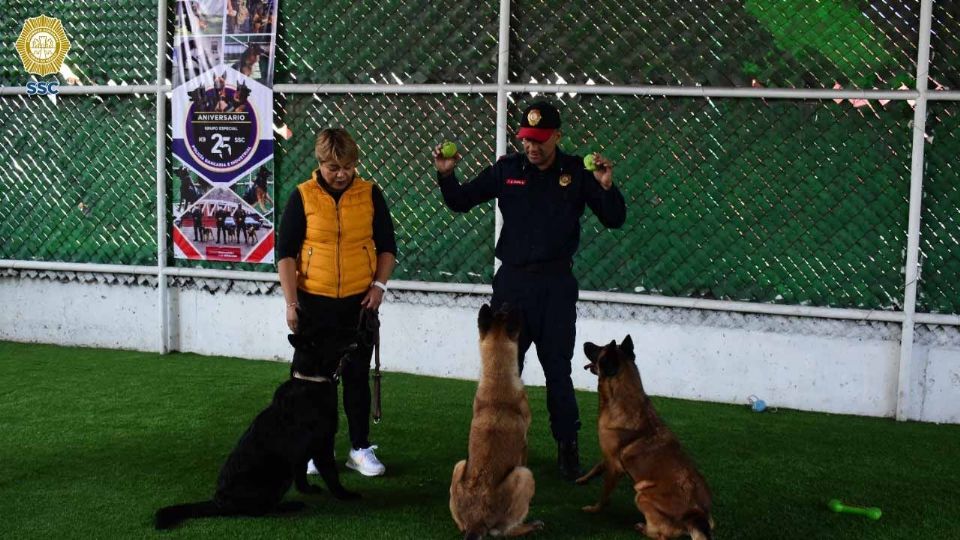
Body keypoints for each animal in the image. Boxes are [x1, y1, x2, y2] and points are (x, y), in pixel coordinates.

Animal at [156, 314, 362, 528]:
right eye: (333, 332)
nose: (359, 329)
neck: (310, 379)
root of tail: (219, 502)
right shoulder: (323, 446)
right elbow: (331, 475)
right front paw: (345, 495)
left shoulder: (302, 452)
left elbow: (302, 472)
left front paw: (307, 489)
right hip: (280, 475)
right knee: (260, 510)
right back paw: (289, 506)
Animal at [452, 306, 544, 536]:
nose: (507, 304)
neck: (497, 376)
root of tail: (476, 523)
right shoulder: (524, 446)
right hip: (524, 476)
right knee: (505, 531)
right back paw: (530, 525)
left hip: (459, 465)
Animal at [576, 336, 712, 536]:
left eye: (599, 349)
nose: (585, 342)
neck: (623, 397)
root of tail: (693, 517)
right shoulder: (609, 456)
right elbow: (597, 466)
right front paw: (583, 478)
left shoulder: (615, 466)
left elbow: (605, 493)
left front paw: (595, 509)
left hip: (641, 494)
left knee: (660, 534)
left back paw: (643, 527)